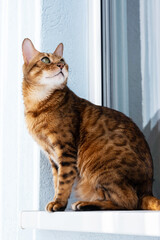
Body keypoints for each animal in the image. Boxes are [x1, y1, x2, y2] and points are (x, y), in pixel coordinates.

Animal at [21, 38, 160, 211]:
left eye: (62, 60)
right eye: (45, 60)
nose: (61, 65)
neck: (38, 105)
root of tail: (148, 190)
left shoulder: (66, 150)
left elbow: (64, 181)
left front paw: (58, 203)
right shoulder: (52, 158)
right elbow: (56, 181)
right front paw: (55, 200)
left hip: (100, 169)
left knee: (129, 202)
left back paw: (86, 203)